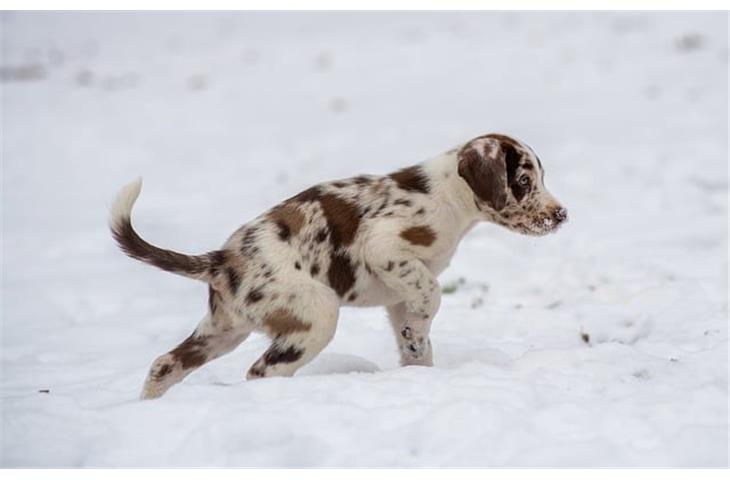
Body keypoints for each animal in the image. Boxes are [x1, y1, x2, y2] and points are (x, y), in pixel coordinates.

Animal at [109, 133, 564, 400]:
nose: (561, 216)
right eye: (524, 181)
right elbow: (432, 296)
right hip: (316, 316)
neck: (448, 196)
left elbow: (416, 335)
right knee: (260, 372)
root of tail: (221, 260)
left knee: (165, 364)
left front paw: (418, 362)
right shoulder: (385, 248)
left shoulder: (398, 296)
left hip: (223, 331)